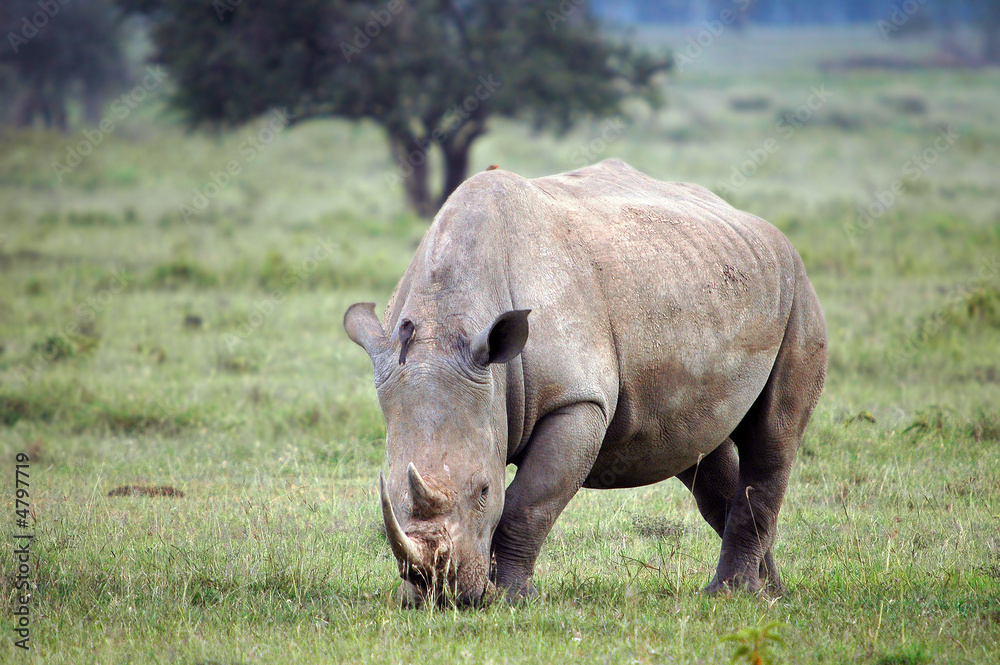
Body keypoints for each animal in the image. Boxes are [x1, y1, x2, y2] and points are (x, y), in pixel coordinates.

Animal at [345, 159, 827, 606]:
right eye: (389, 493)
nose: (442, 596)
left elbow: (528, 503)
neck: (449, 323)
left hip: (797, 293)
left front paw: (509, 598)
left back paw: (734, 593)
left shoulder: (577, 401)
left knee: (772, 438)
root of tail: (770, 233)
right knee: (700, 451)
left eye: (484, 490)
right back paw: (767, 593)